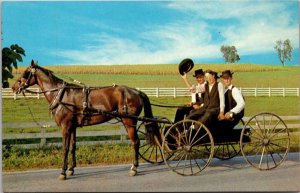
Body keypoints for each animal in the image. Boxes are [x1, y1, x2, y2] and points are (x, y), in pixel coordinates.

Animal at [12, 60, 161, 179]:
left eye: (25, 73)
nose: (14, 87)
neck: (61, 95)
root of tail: (137, 92)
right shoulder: (72, 127)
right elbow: (73, 147)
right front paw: (71, 169)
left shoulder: (65, 128)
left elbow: (65, 148)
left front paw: (63, 172)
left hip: (129, 122)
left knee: (135, 142)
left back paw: (134, 168)